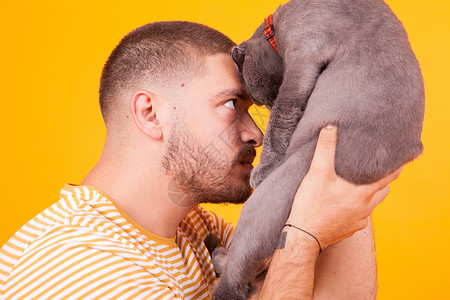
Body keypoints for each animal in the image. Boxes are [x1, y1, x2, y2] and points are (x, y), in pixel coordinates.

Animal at [209, 0, 424, 298]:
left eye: (259, 102)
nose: (268, 104)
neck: (277, 30)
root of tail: (408, 153)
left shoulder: (303, 60)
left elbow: (281, 121)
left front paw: (263, 167)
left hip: (284, 183)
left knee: (242, 268)